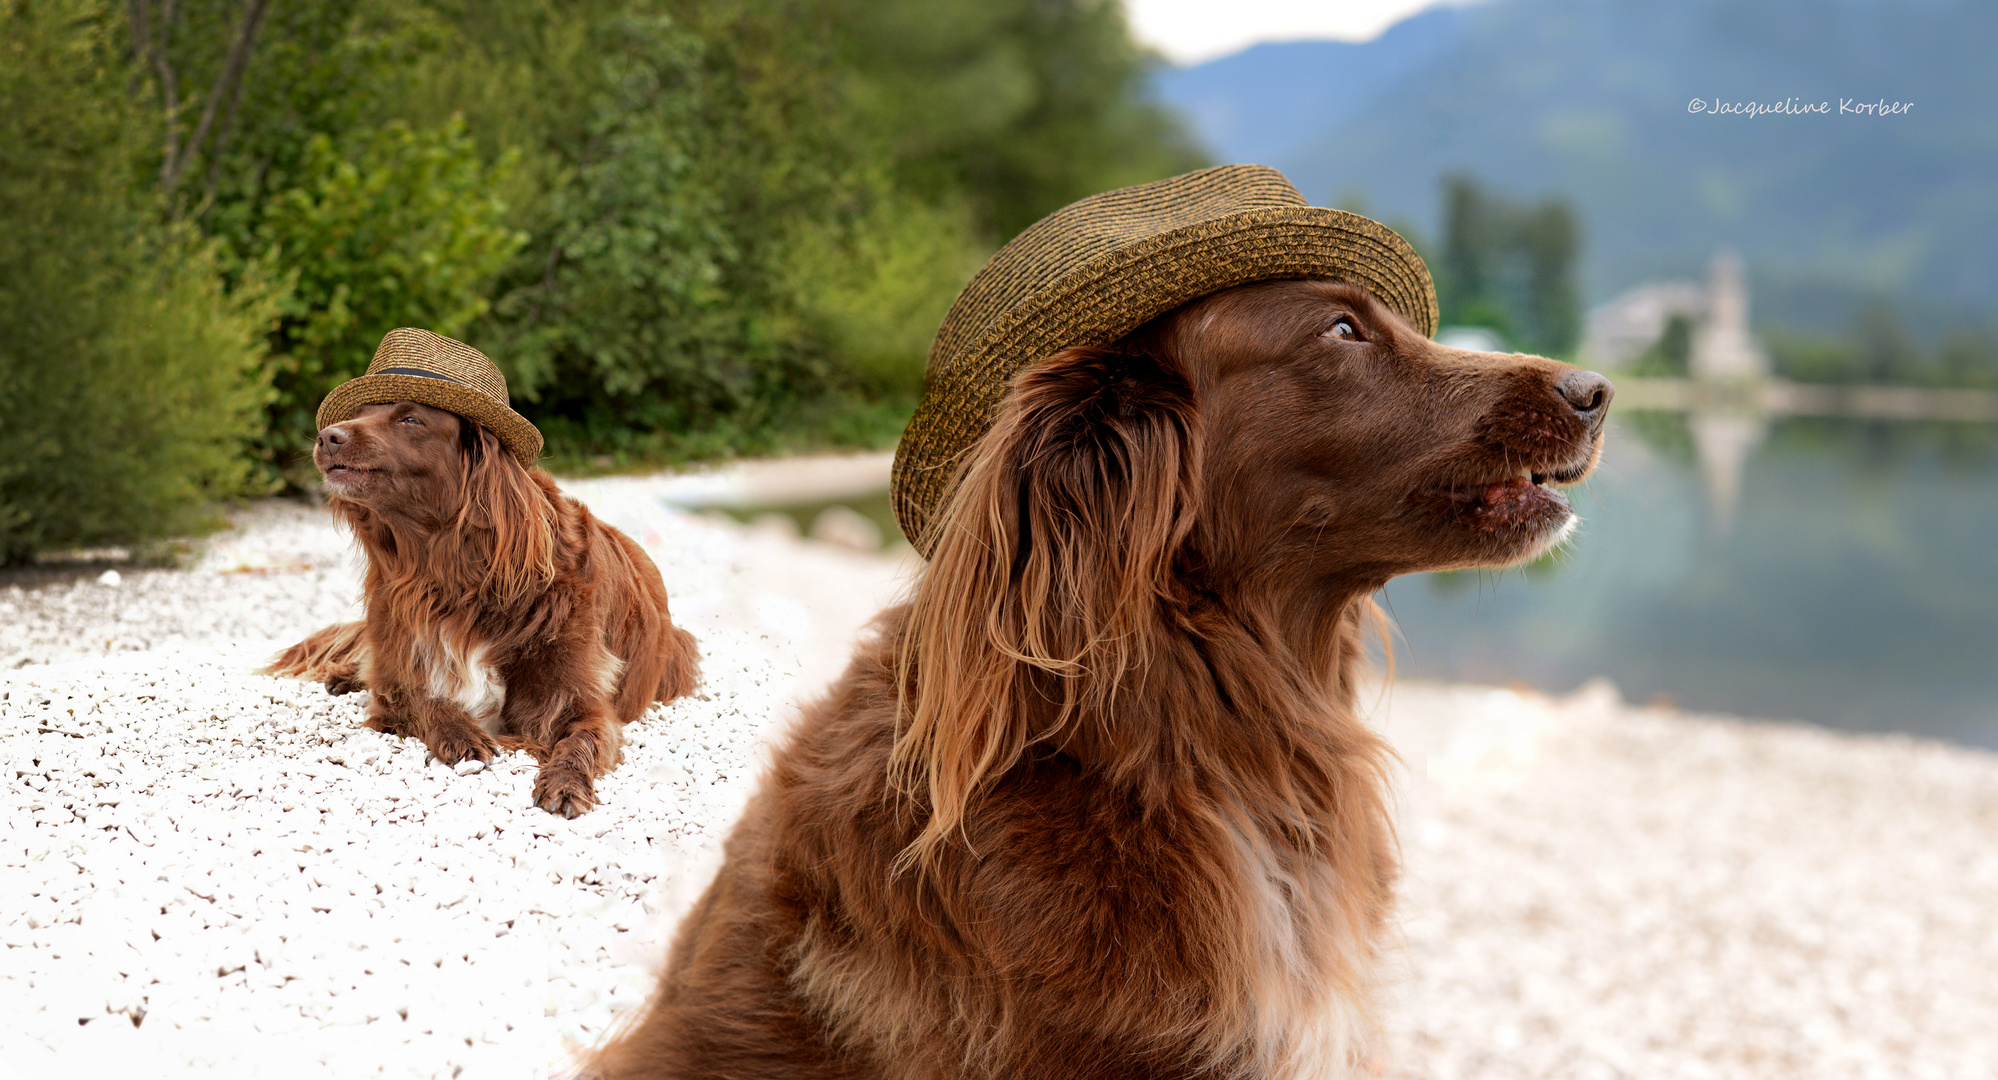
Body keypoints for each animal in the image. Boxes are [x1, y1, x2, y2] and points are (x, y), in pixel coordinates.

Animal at [265, 329, 699, 818]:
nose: (327, 437)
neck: (448, 574)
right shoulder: (399, 663)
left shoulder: (580, 699)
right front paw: (460, 733)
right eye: (359, 415)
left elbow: (581, 738)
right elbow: (422, 696)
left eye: (410, 419)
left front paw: (566, 782)